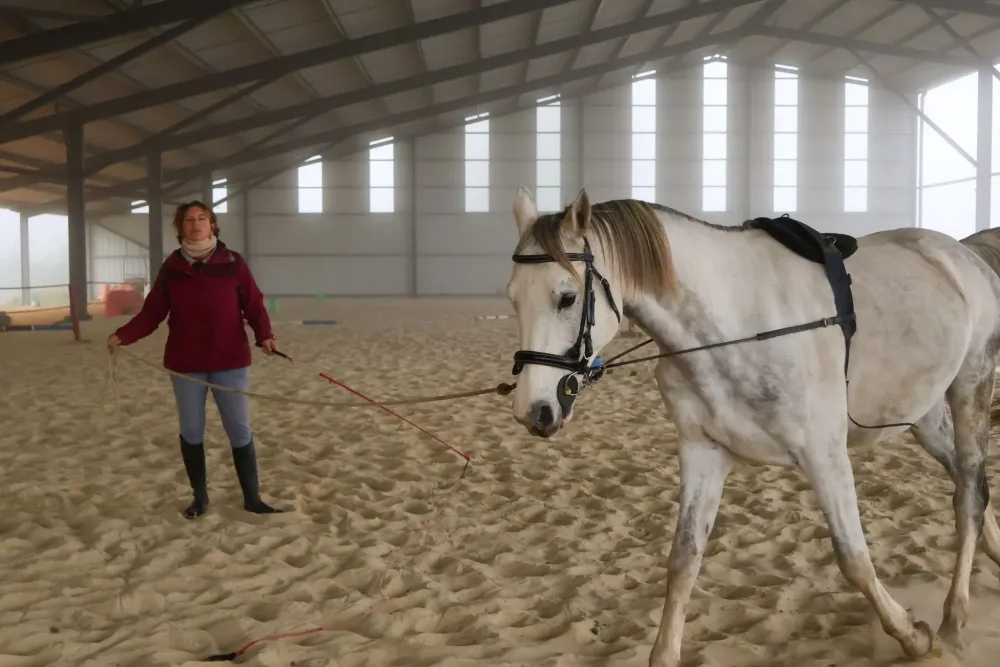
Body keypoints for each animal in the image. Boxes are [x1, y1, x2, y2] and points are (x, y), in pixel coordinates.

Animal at [504, 186, 1000, 667]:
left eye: (567, 297)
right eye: (513, 298)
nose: (534, 410)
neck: (737, 327)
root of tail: (963, 254)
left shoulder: (824, 454)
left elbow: (854, 558)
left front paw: (915, 638)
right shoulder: (702, 452)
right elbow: (683, 559)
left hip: (970, 386)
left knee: (969, 495)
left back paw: (954, 618)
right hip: (923, 416)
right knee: (966, 478)